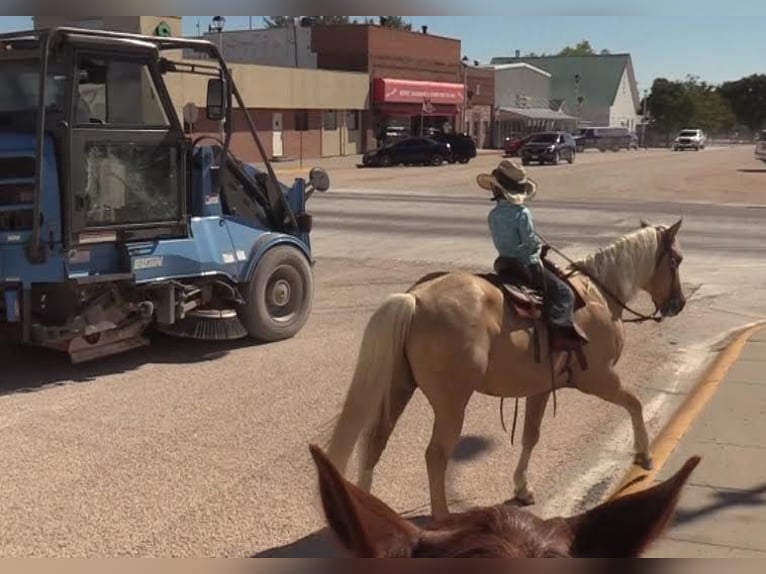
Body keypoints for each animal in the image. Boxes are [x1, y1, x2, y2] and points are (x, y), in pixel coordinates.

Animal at [328, 217, 688, 520]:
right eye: (676, 260)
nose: (678, 304)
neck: (597, 294)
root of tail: (415, 298)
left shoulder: (541, 388)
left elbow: (531, 436)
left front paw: (522, 488)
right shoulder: (600, 378)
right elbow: (635, 403)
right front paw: (643, 455)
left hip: (398, 387)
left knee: (375, 441)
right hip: (451, 403)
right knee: (436, 454)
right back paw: (442, 517)